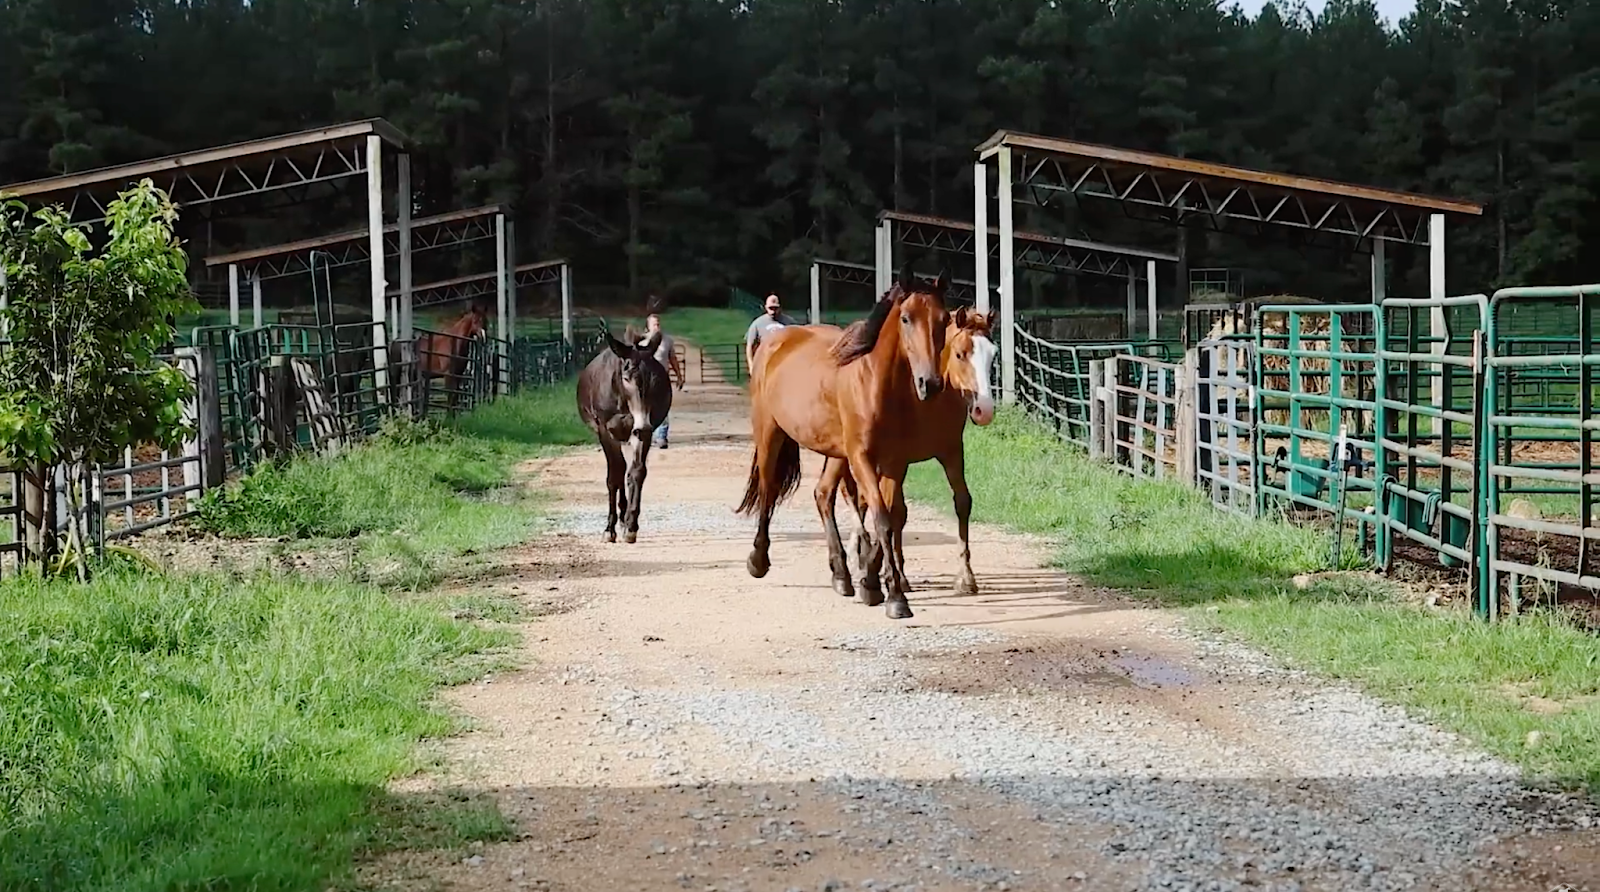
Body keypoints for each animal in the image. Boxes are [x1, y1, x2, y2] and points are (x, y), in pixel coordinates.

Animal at [576, 326, 673, 544]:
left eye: (656, 382)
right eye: (626, 378)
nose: (643, 426)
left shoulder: (641, 432)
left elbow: (636, 472)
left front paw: (631, 526)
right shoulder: (605, 432)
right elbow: (614, 476)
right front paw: (609, 529)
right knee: (618, 471)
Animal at [737, 266, 950, 620]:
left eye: (945, 319)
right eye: (906, 318)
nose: (929, 384)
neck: (874, 382)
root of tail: (775, 340)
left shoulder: (893, 461)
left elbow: (890, 515)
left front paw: (872, 583)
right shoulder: (862, 457)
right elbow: (881, 517)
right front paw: (894, 598)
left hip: (835, 452)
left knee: (822, 494)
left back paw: (841, 575)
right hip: (770, 433)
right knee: (768, 490)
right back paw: (758, 560)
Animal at [825, 309, 997, 605]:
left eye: (993, 355)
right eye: (960, 354)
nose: (983, 410)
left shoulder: (952, 451)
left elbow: (962, 502)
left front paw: (966, 577)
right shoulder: (899, 460)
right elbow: (895, 512)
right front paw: (892, 577)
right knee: (850, 498)